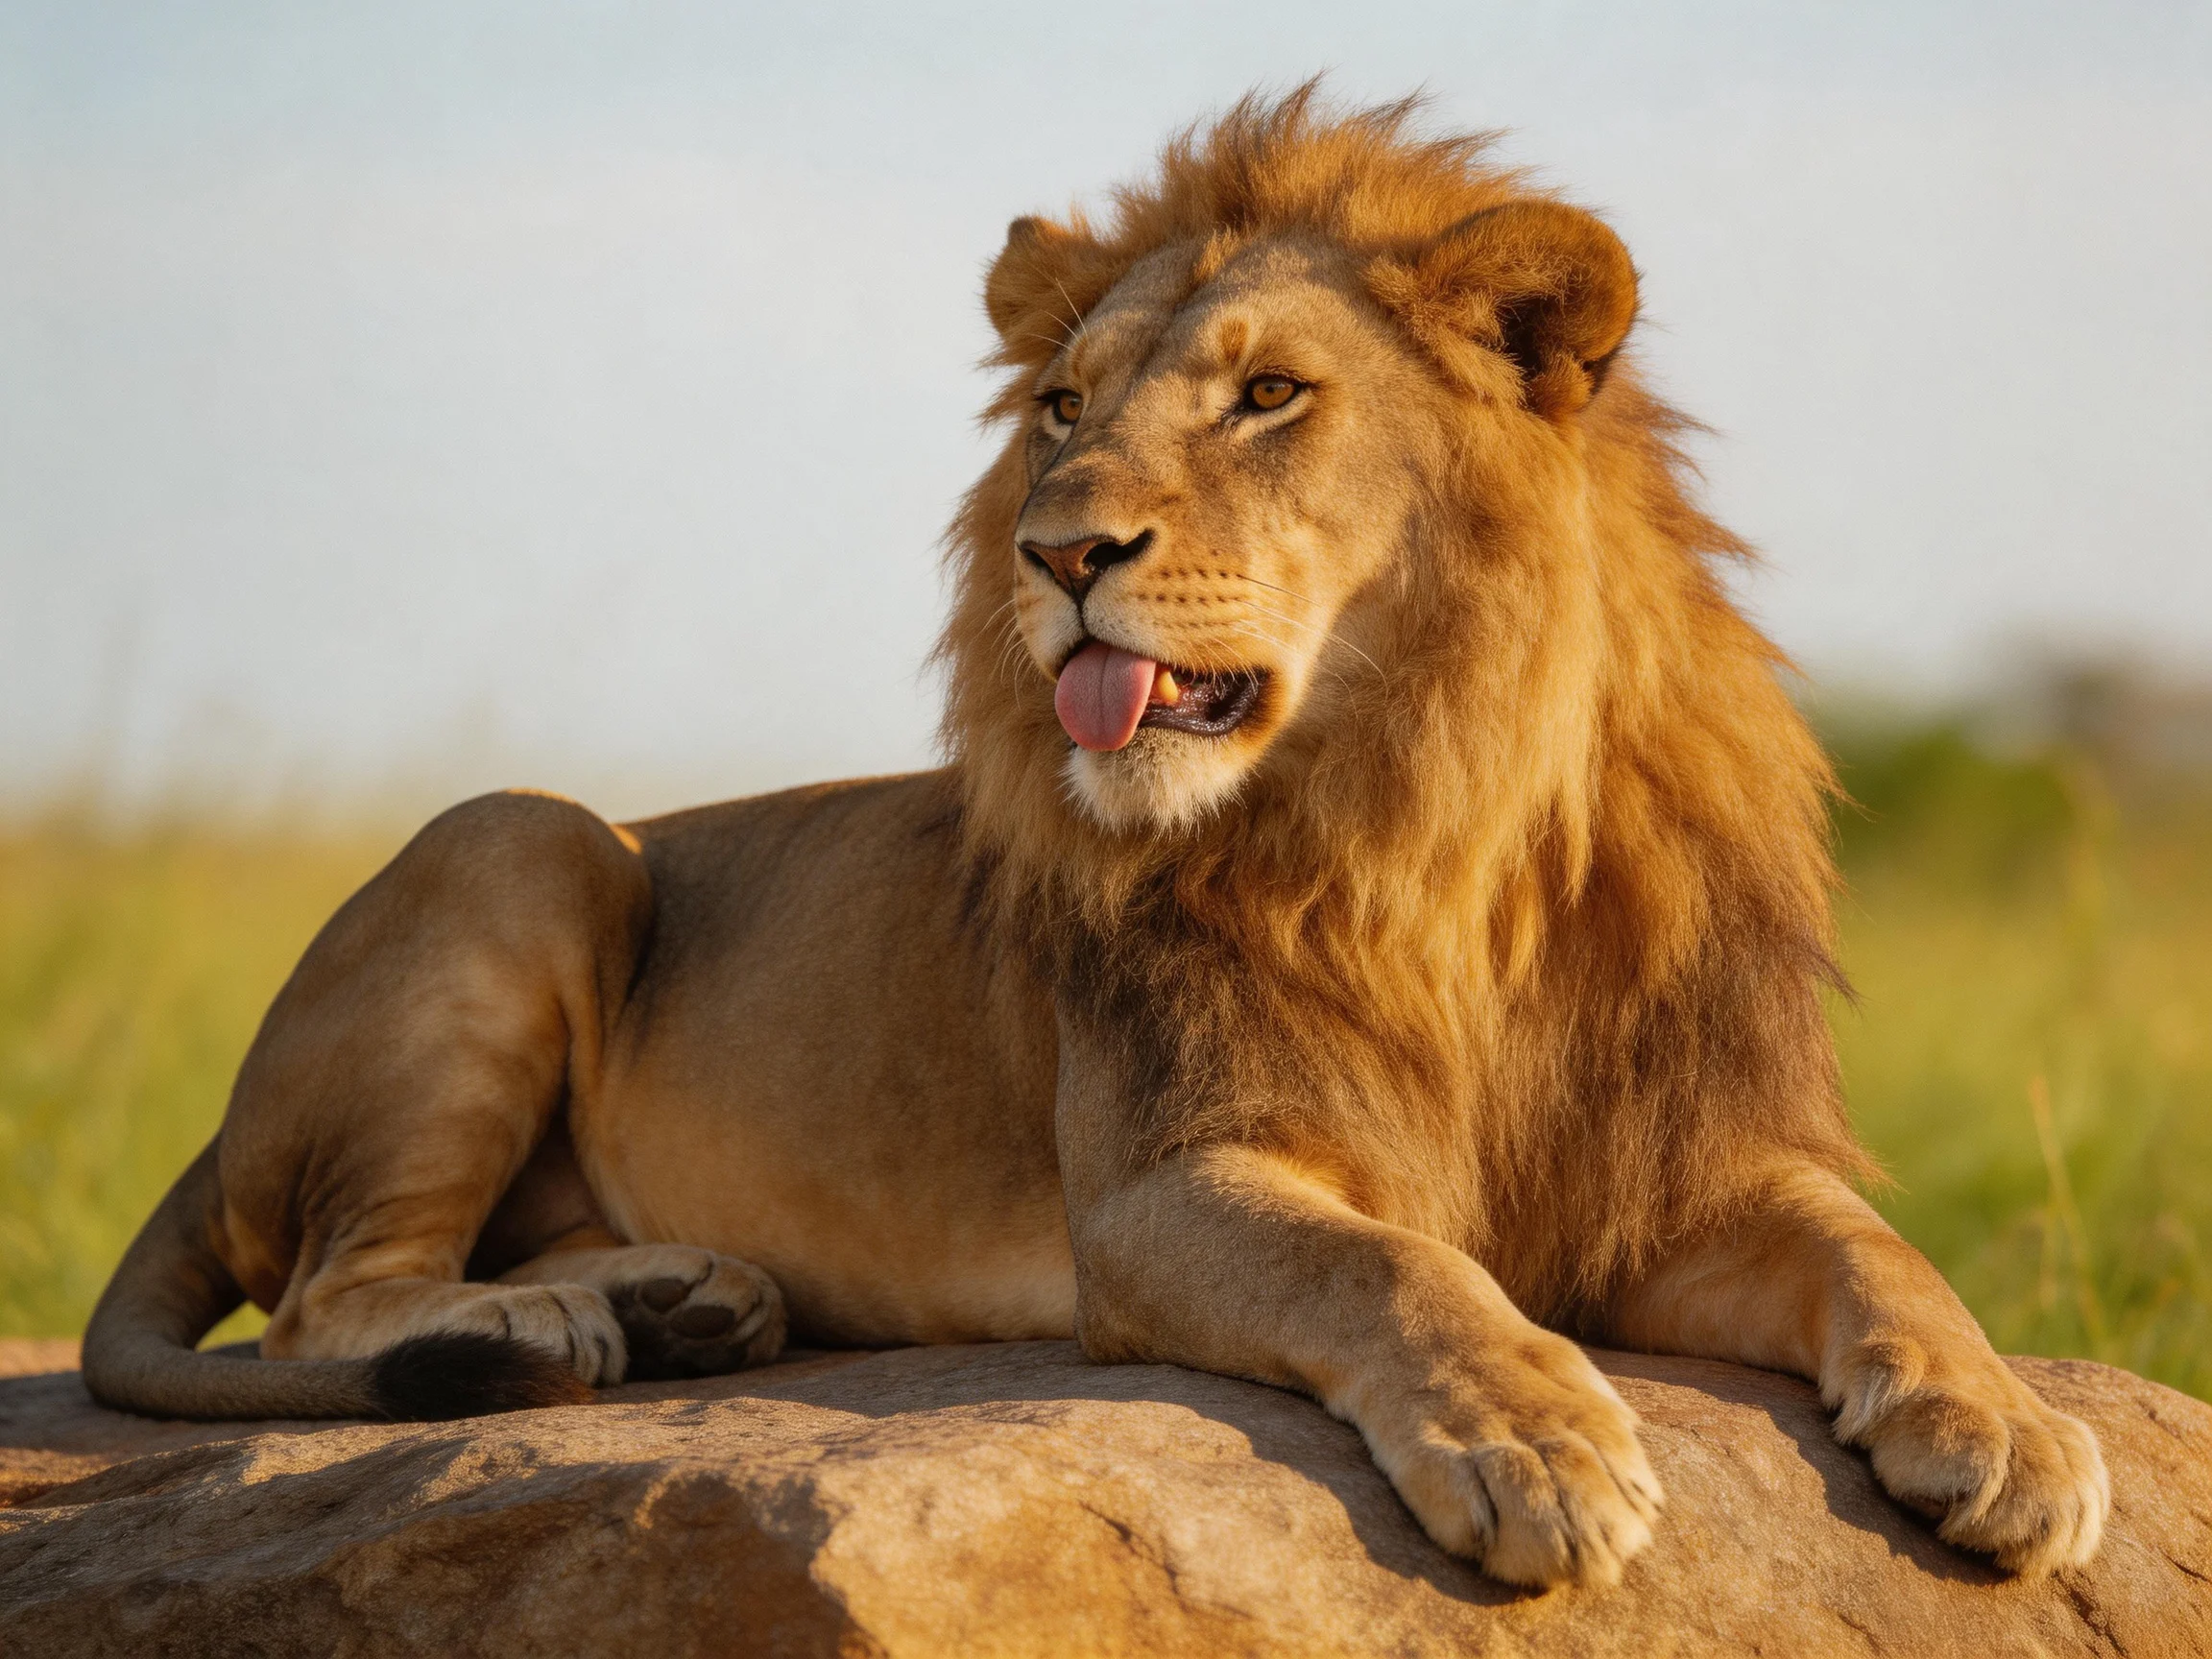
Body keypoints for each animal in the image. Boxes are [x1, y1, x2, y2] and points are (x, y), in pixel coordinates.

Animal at [85, 88, 2108, 1587]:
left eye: (1266, 393)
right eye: (1059, 409)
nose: (1052, 549)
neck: (1426, 823)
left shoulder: (1667, 1167)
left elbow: (1874, 1249)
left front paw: (2007, 1425)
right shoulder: (1153, 1192)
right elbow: (1388, 1266)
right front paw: (1529, 1436)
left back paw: (678, 1295)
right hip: (527, 833)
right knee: (326, 1299)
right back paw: (558, 1335)